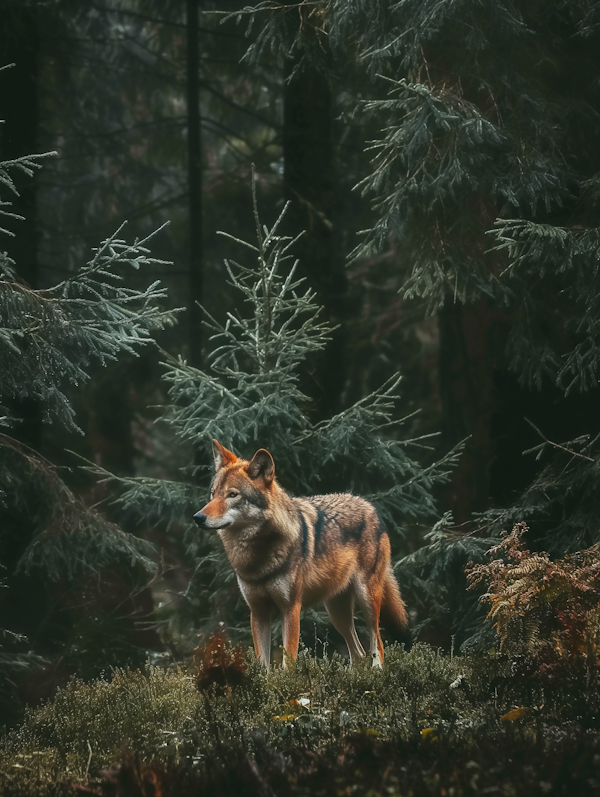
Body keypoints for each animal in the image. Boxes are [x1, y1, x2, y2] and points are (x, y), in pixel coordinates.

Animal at [195, 438, 410, 668]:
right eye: (213, 493)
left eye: (233, 495)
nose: (197, 517)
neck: (257, 556)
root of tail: (370, 507)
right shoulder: (258, 613)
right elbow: (263, 666)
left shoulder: (291, 609)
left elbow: (287, 664)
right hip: (337, 613)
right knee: (358, 654)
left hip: (367, 600)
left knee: (378, 644)